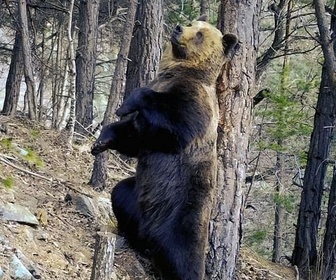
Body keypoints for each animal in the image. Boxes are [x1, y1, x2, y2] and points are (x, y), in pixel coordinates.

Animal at [92, 17, 238, 280]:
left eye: (200, 34)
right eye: (193, 23)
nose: (179, 28)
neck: (176, 71)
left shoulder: (195, 104)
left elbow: (176, 124)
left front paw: (124, 105)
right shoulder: (148, 125)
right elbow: (134, 136)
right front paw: (101, 142)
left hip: (183, 212)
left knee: (182, 253)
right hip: (137, 198)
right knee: (119, 193)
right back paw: (130, 237)